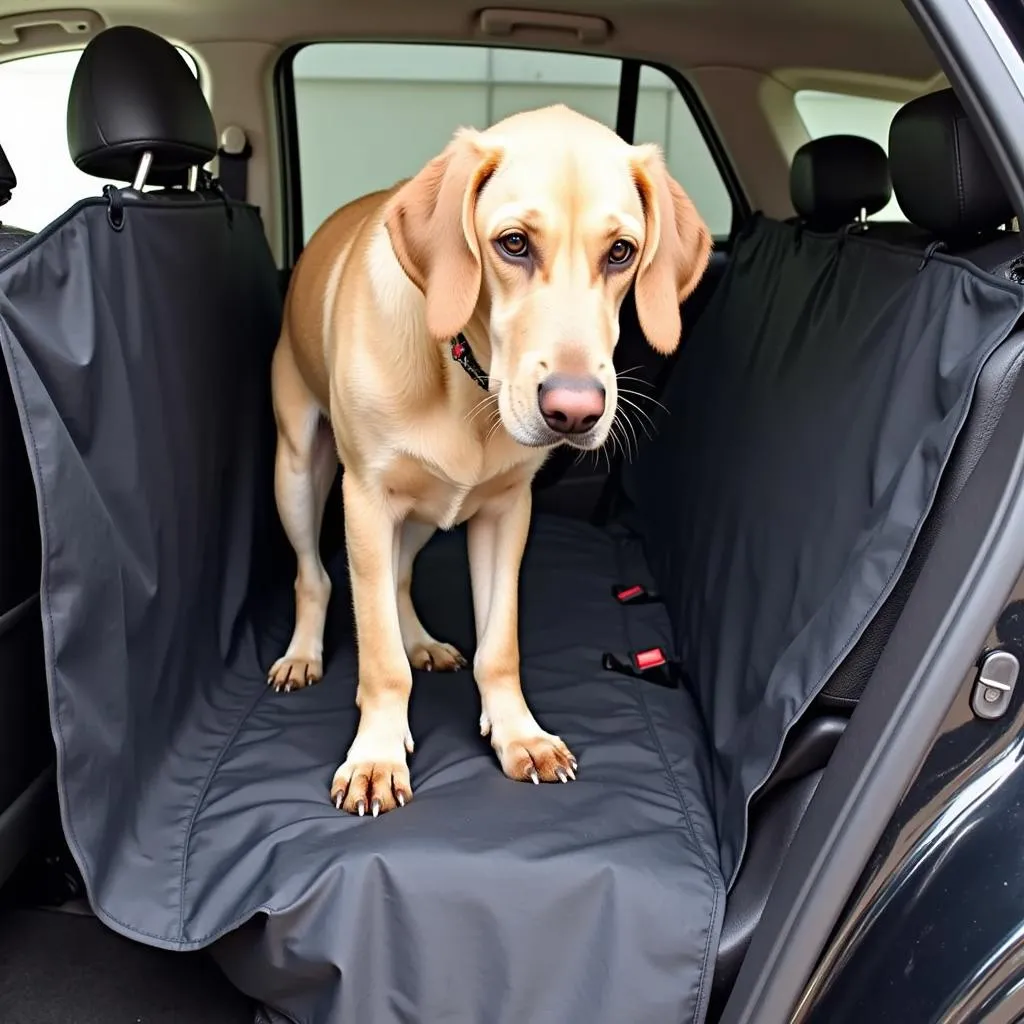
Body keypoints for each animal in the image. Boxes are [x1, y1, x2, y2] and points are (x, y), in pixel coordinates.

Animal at [268, 105, 708, 815]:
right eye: (514, 244)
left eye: (621, 251)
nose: (574, 412)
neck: (465, 380)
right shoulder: (366, 502)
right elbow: (379, 658)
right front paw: (376, 755)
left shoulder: (506, 512)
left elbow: (498, 646)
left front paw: (519, 734)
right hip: (299, 469)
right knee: (315, 574)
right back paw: (304, 653)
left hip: (423, 513)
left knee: (397, 578)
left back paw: (420, 639)